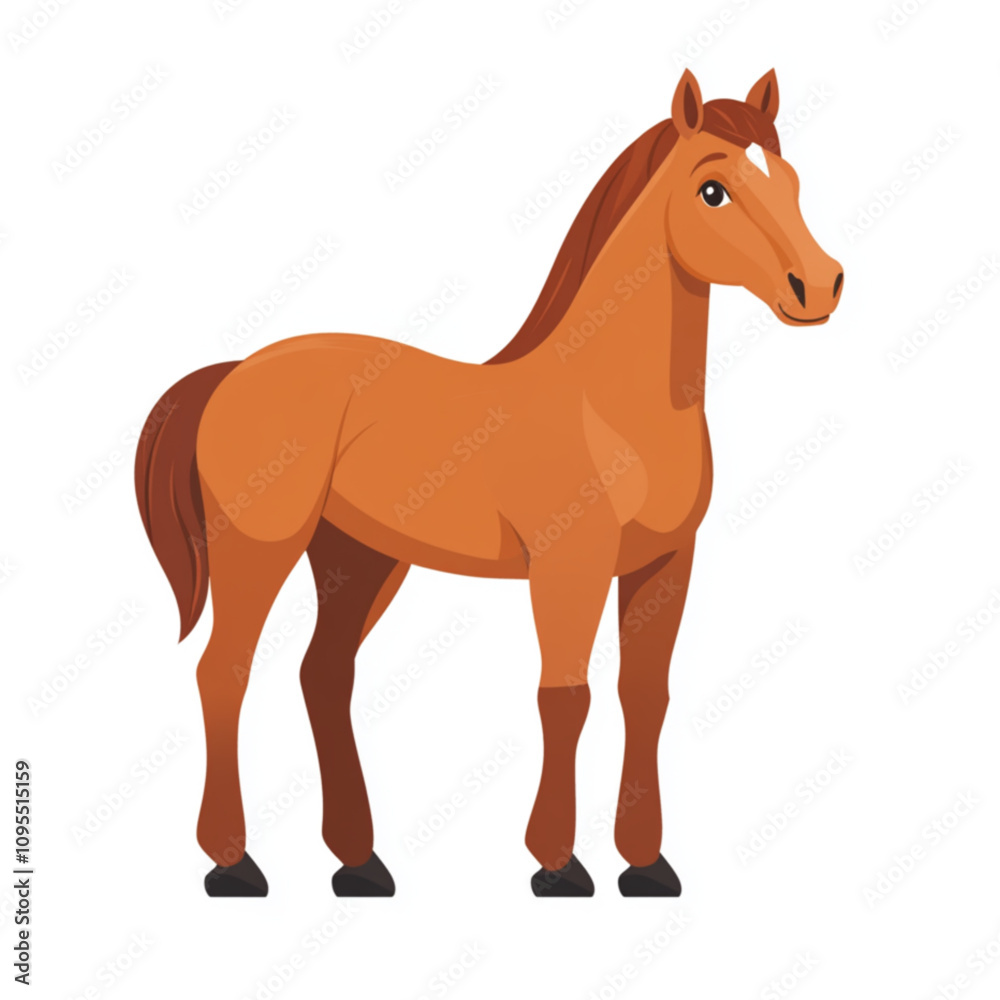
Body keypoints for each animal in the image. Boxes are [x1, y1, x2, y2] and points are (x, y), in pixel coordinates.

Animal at [135, 69, 843, 898]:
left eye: (791, 181)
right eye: (712, 191)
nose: (818, 287)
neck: (606, 404)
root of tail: (233, 373)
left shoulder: (665, 563)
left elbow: (646, 693)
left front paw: (645, 863)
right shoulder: (569, 568)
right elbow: (565, 696)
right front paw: (558, 865)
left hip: (360, 560)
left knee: (323, 675)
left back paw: (359, 862)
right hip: (260, 548)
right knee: (225, 672)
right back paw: (233, 863)